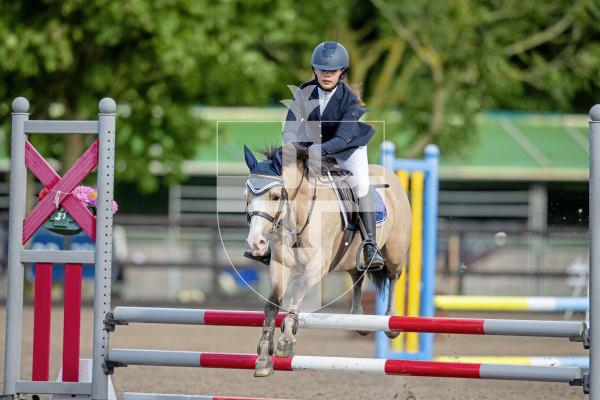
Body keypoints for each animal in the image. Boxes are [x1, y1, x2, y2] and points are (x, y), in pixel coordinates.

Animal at [241, 145, 410, 378]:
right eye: (247, 197)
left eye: (275, 197)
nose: (255, 243)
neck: (299, 212)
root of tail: (392, 176)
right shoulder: (280, 265)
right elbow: (271, 305)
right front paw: (264, 357)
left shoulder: (317, 265)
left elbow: (298, 289)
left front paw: (287, 339)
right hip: (351, 258)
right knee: (357, 277)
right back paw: (358, 320)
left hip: (394, 252)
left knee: (393, 277)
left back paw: (391, 321)